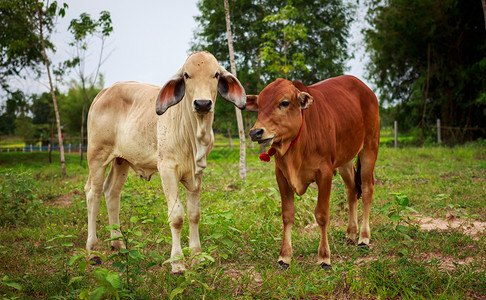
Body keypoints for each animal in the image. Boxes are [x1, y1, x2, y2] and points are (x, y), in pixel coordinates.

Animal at [84, 52, 247, 274]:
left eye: (215, 74)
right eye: (186, 75)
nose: (202, 104)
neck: (193, 135)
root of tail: (104, 92)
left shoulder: (197, 174)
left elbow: (194, 214)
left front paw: (197, 257)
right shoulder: (167, 170)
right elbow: (177, 216)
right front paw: (177, 262)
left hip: (121, 161)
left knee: (112, 193)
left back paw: (118, 244)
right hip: (97, 155)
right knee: (93, 193)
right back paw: (93, 251)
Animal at [247, 75, 380, 270]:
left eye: (284, 102)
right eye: (259, 104)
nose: (256, 132)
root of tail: (367, 90)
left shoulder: (325, 173)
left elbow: (322, 215)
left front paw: (324, 257)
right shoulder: (281, 174)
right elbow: (287, 215)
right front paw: (284, 256)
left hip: (370, 147)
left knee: (367, 190)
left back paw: (363, 237)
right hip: (345, 160)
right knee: (352, 191)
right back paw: (350, 234)